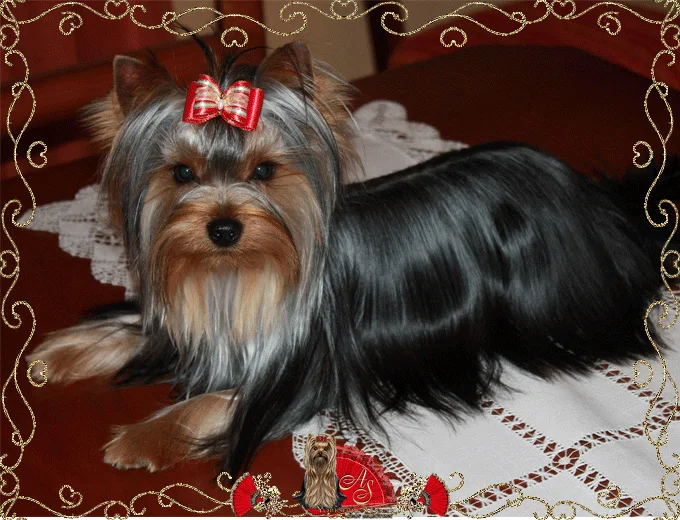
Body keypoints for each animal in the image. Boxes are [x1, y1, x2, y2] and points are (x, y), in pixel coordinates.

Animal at [28, 40, 679, 478]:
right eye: (181, 174)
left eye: (265, 171)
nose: (223, 227)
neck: (234, 276)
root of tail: (595, 201)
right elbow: (128, 327)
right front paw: (54, 355)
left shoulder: (305, 372)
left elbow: (216, 401)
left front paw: (139, 439)